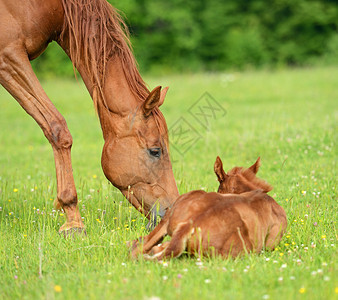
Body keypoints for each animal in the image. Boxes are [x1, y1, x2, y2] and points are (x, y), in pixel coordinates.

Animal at [0, 0, 180, 234]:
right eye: (155, 151)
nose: (171, 210)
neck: (50, 7)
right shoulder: (9, 55)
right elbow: (56, 126)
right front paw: (73, 221)